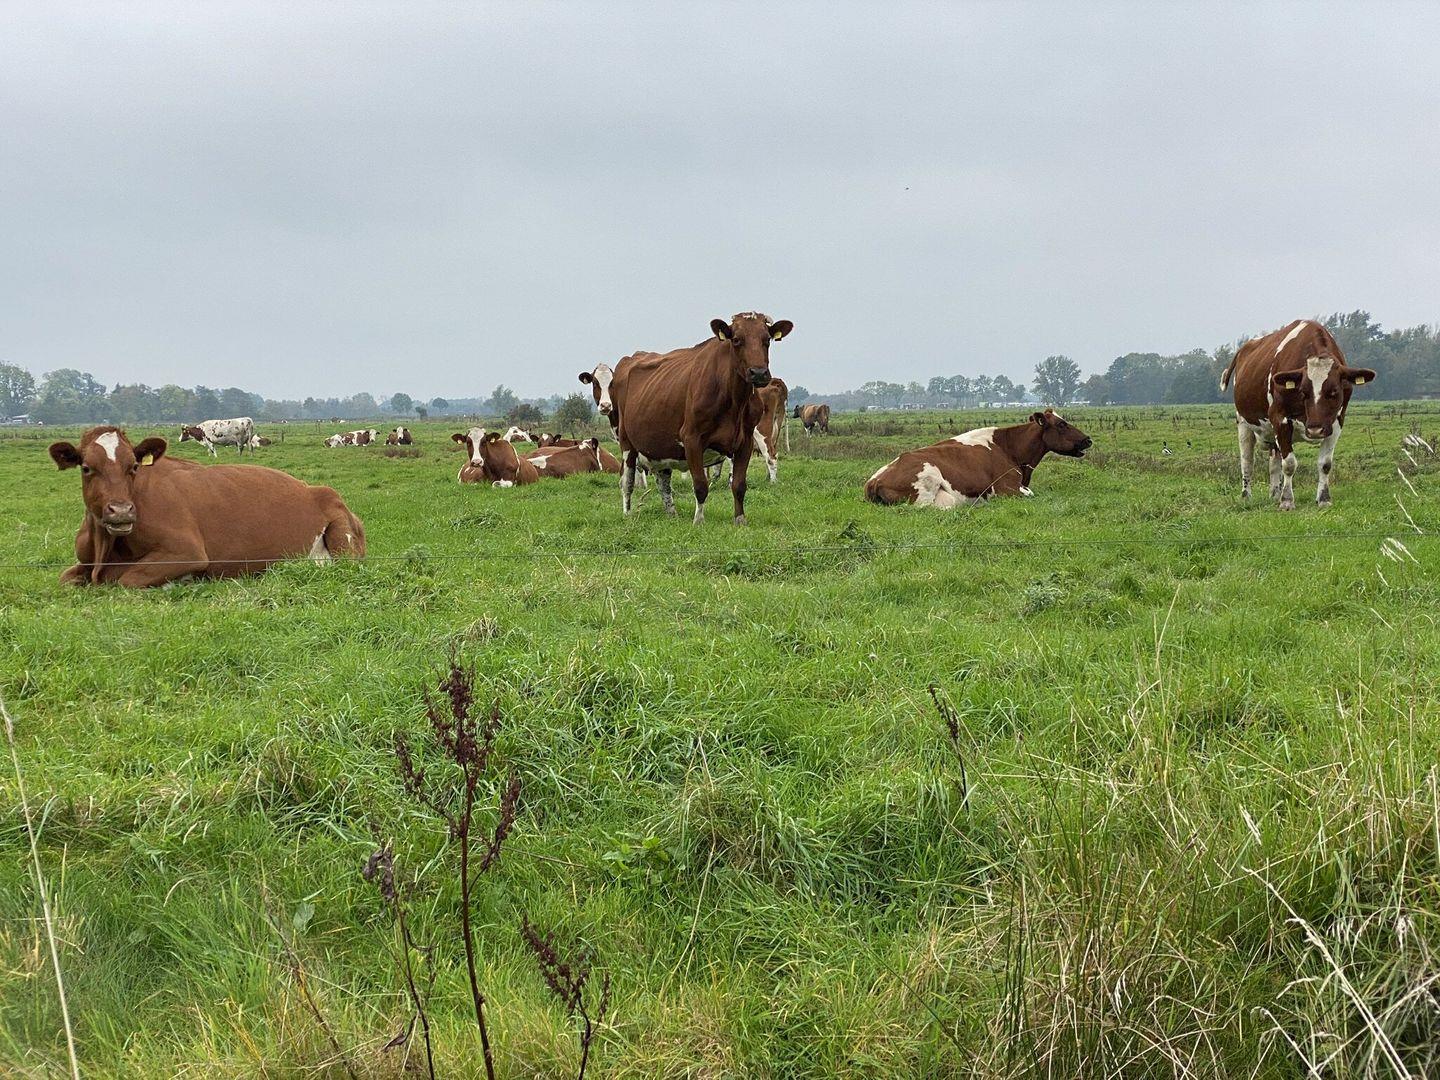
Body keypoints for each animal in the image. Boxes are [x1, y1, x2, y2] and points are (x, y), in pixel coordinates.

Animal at [48, 426, 364, 587]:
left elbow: (127, 580)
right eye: (86, 468)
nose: (122, 511)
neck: (105, 548)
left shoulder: (186, 551)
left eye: (134, 466)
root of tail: (315, 489)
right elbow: (64, 577)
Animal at [611, 311, 794, 524]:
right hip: (626, 441)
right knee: (627, 481)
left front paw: (740, 520)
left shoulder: (745, 441)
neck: (734, 402)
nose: (758, 373)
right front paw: (698, 521)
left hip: (660, 443)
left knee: (663, 481)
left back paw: (672, 514)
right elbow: (700, 485)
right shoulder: (692, 438)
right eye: (736, 340)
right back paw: (627, 514)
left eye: (767, 340)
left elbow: (739, 485)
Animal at [864, 410, 1092, 507]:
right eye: (1062, 424)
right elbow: (1029, 494)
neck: (1009, 449)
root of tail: (874, 481)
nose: (1088, 440)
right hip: (928, 488)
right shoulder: (1006, 490)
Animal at [1219, 320, 1376, 509]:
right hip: (1243, 423)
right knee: (1247, 461)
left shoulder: (1336, 422)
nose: (1315, 430)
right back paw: (1246, 496)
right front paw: (1287, 501)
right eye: (1303, 391)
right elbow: (1289, 464)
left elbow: (1325, 464)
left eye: (1334, 392)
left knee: (1273, 462)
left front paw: (1323, 498)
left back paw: (1275, 494)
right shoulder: (1280, 419)